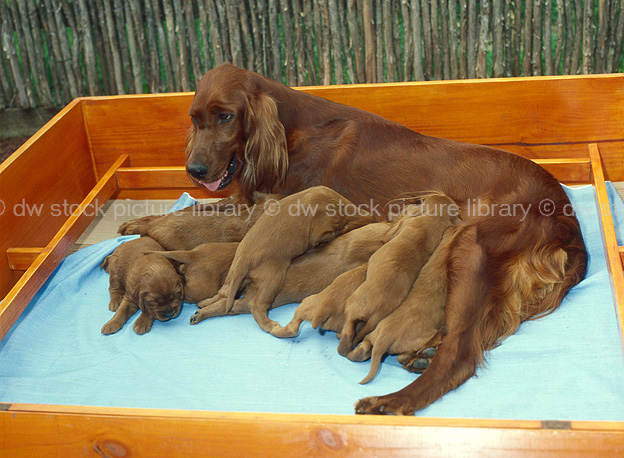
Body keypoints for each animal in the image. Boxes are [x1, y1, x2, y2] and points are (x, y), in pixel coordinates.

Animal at [202, 186, 372, 332]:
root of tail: (244, 260)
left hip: (232, 276)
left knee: (223, 292)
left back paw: (202, 305)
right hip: (273, 279)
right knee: (255, 304)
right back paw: (269, 325)